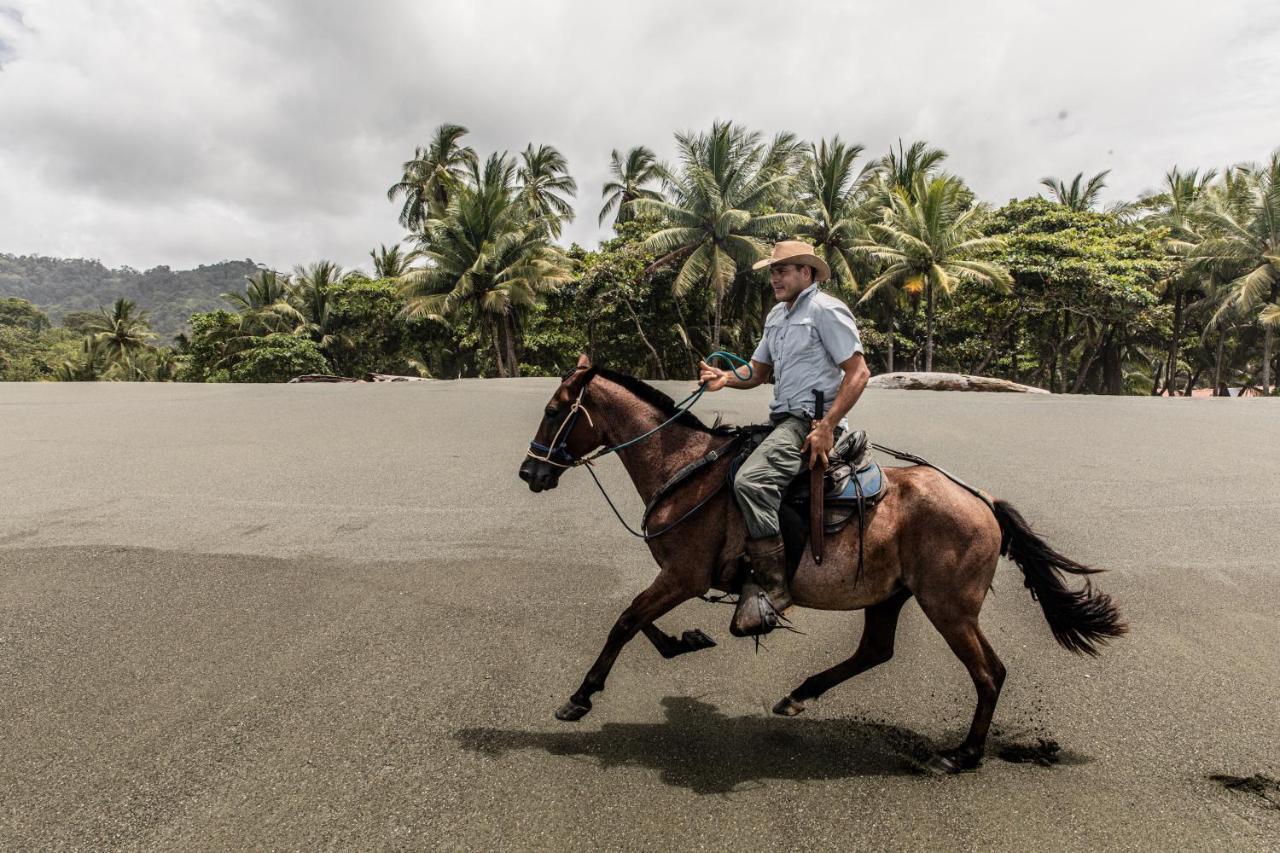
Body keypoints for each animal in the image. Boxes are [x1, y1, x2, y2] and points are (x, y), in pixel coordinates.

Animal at [514, 350, 1126, 768]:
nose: (530, 472)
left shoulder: (683, 574)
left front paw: (580, 698)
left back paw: (963, 754)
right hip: (892, 595)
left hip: (949, 606)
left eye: (552, 410)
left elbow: (625, 622)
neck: (682, 467)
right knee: (876, 650)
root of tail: (983, 501)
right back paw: (799, 696)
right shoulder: (679, 577)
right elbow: (640, 623)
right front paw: (685, 641)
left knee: (988, 672)